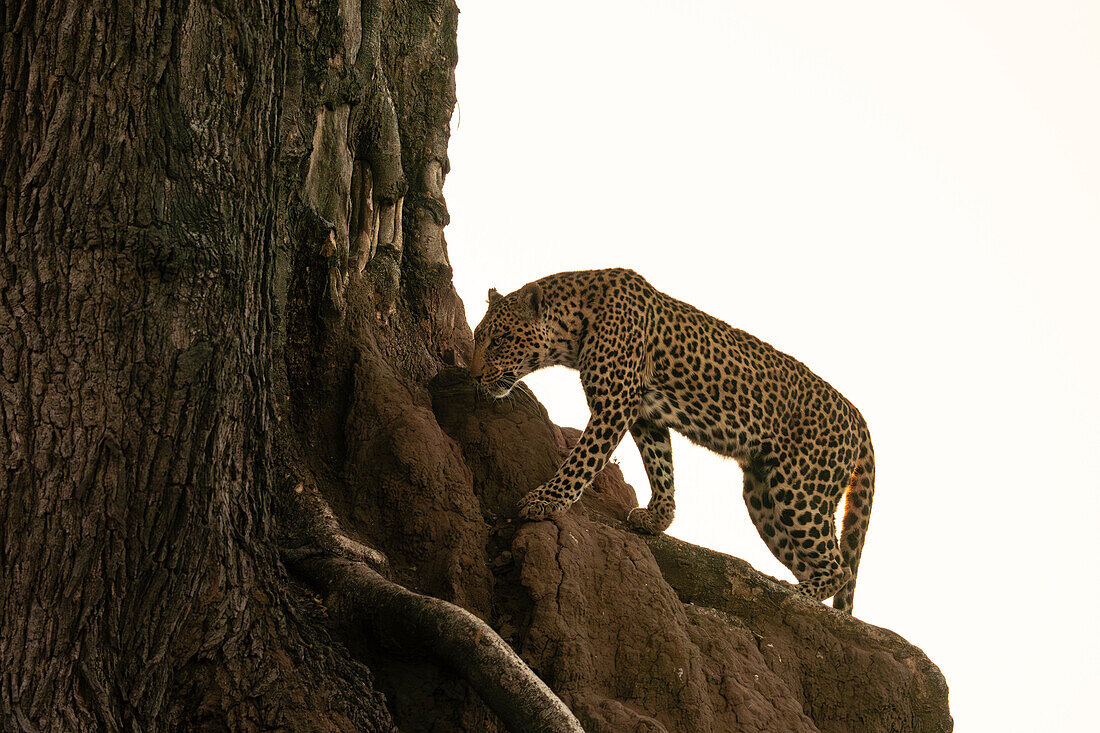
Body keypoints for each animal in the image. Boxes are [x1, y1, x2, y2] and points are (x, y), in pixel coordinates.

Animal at [470, 268, 875, 611]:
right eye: (477, 339)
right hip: (763, 499)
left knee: (839, 568)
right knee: (818, 560)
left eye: (500, 340)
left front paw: (545, 500)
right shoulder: (645, 413)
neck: (575, 324)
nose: (473, 376)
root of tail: (860, 418)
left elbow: (583, 459)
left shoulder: (615, 404)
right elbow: (660, 465)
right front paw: (658, 517)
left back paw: (799, 594)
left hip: (799, 491)